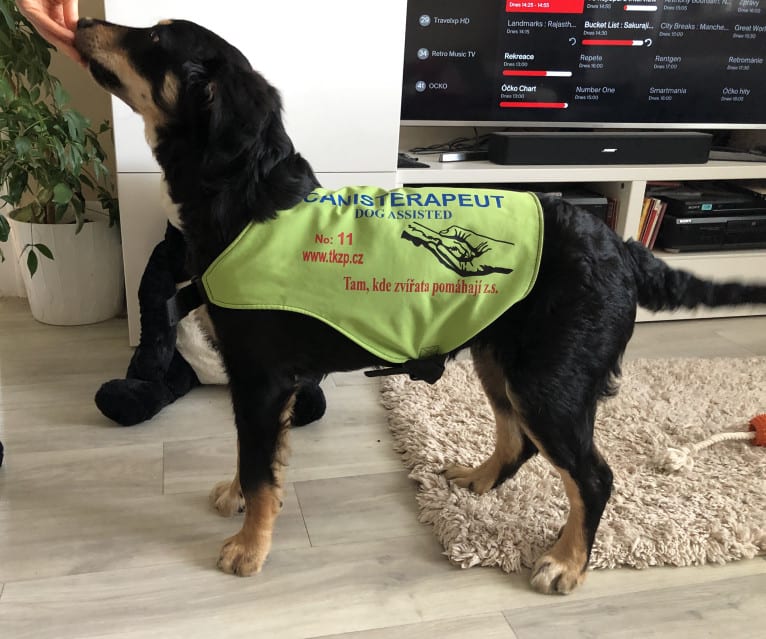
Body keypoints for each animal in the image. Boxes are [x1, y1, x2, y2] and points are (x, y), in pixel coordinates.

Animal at [76, 17, 766, 596]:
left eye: (156, 41)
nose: (81, 21)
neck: (249, 196)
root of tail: (622, 246)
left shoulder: (262, 377)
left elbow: (259, 467)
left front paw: (249, 547)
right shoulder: (269, 383)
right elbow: (262, 457)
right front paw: (240, 503)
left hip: (550, 381)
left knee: (593, 476)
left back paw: (567, 562)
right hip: (502, 361)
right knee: (517, 442)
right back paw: (481, 481)